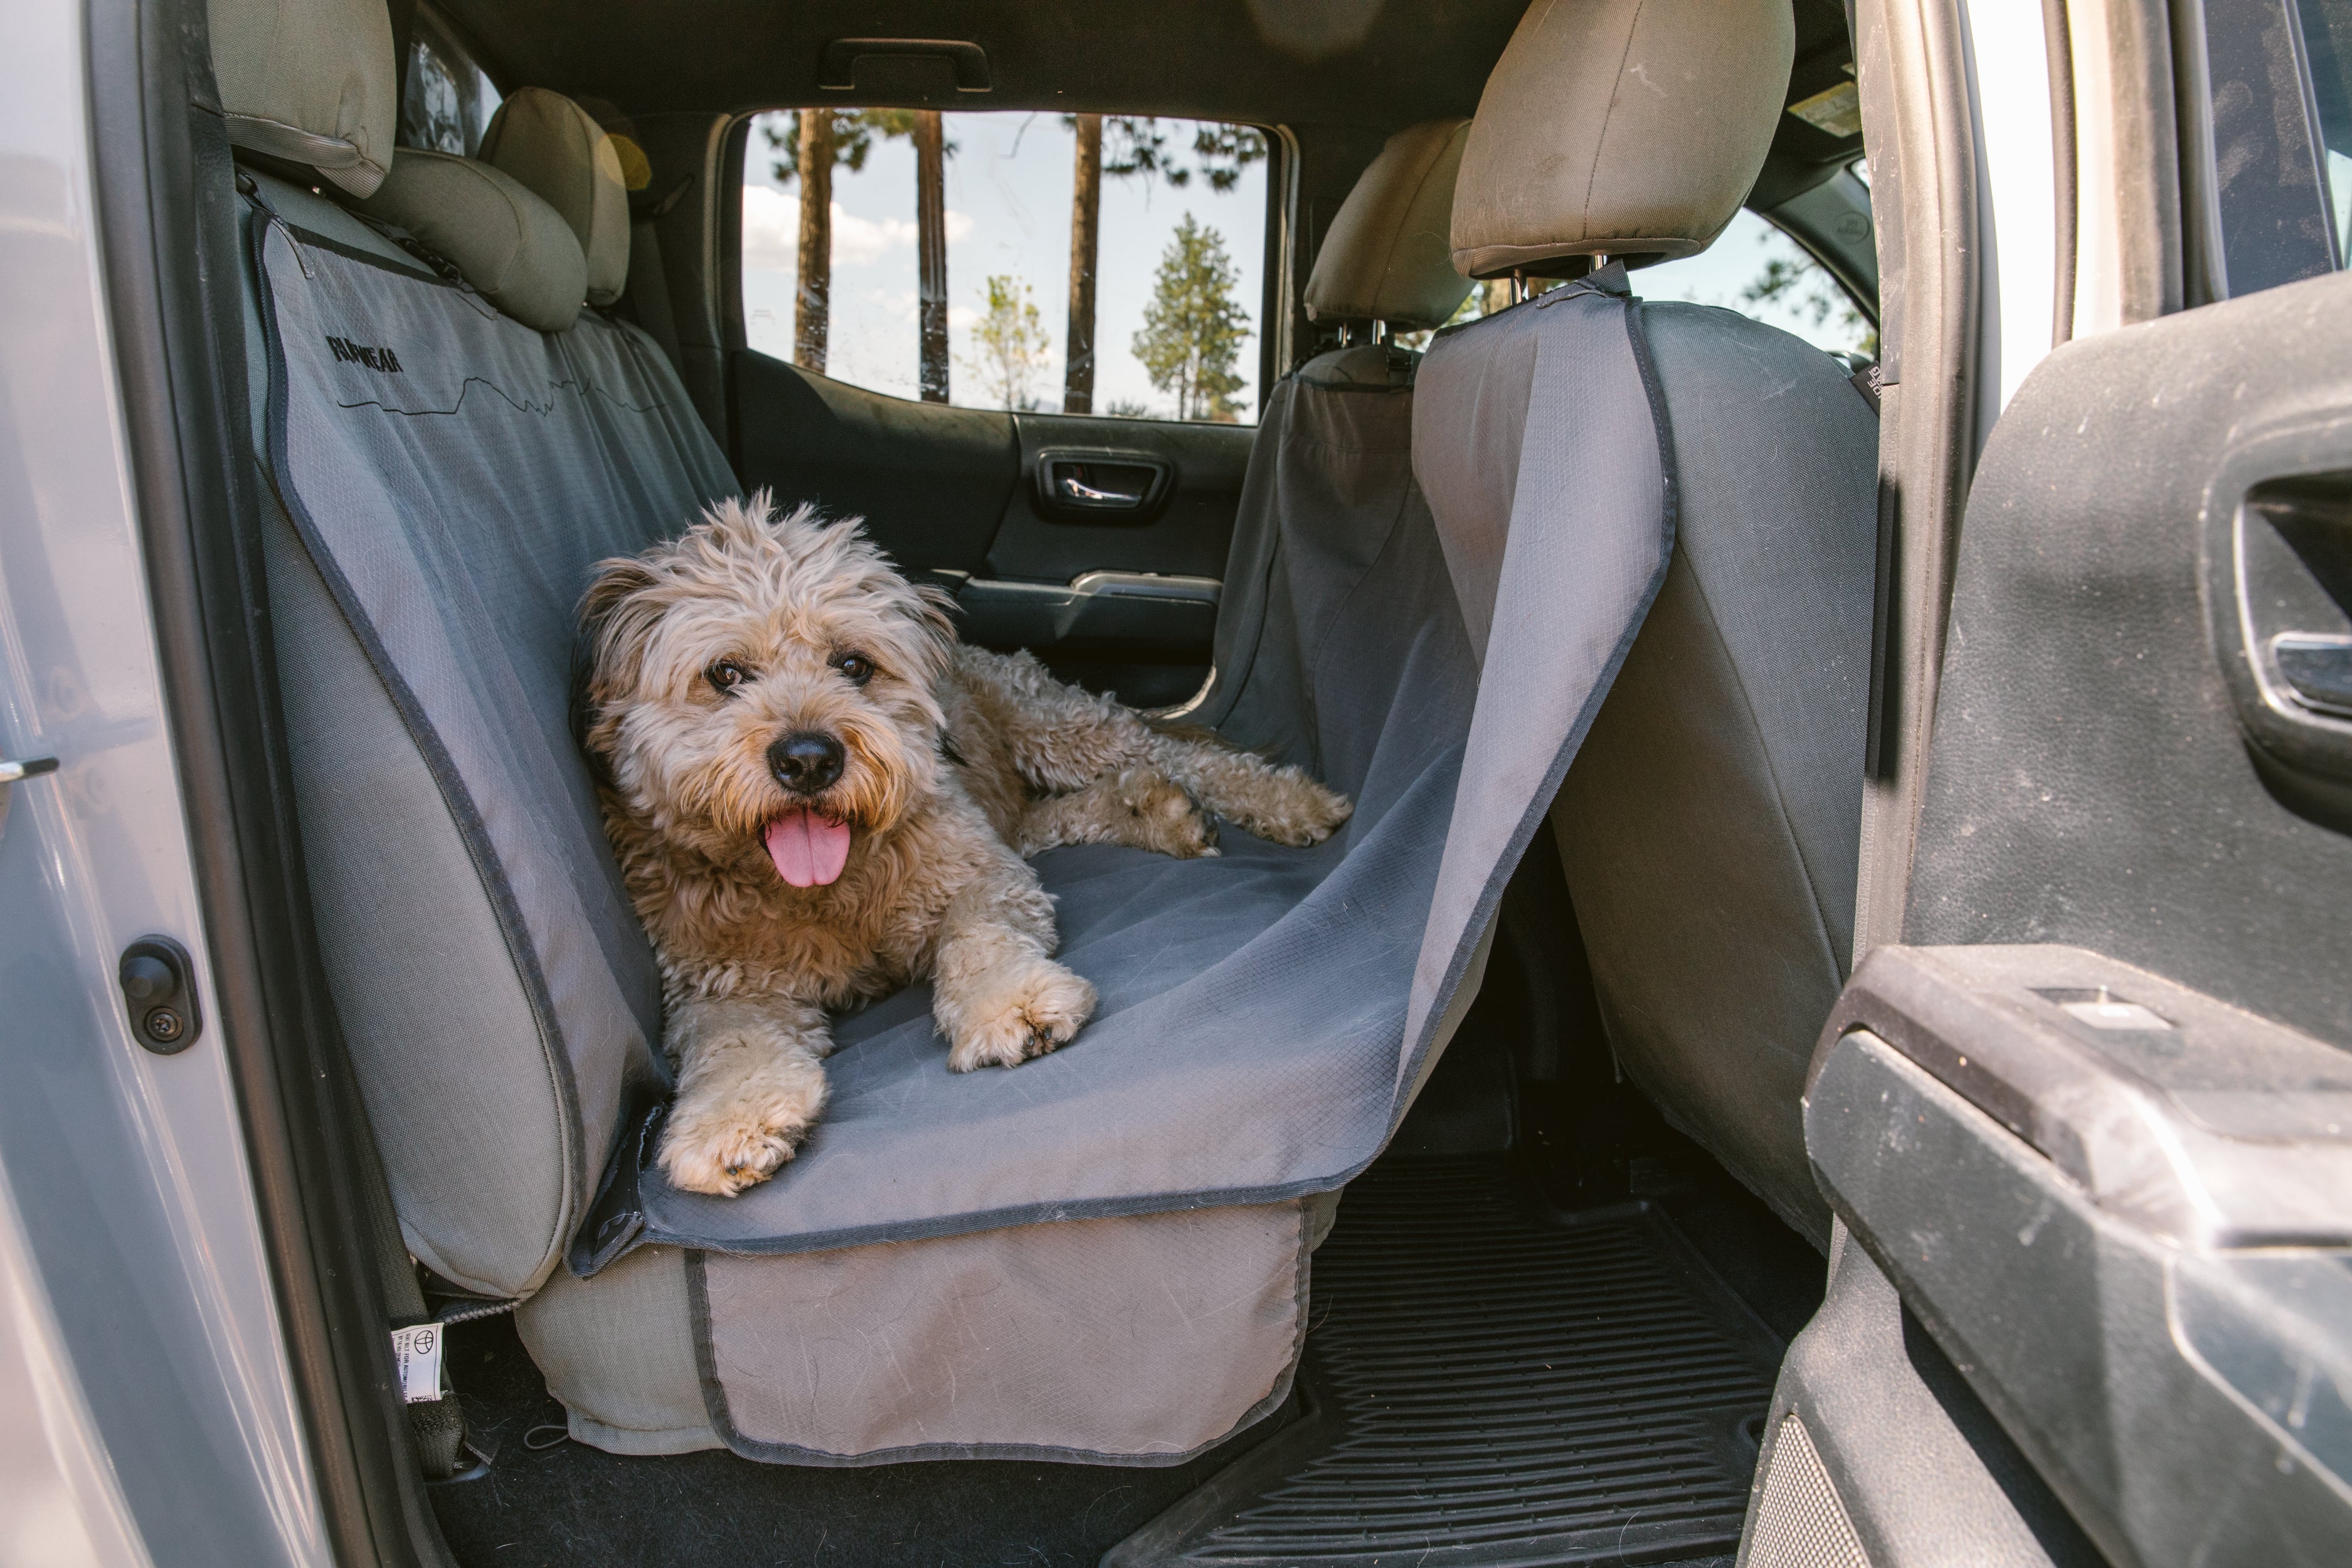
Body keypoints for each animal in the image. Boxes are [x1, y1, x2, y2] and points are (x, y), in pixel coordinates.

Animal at [581, 495, 1355, 1194]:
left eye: (854, 665)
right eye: (725, 674)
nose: (808, 759)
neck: (826, 890)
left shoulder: (975, 871)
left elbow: (977, 937)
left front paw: (1008, 1006)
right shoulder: (718, 980)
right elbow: (728, 1045)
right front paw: (727, 1127)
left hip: (1058, 731)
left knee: (1183, 758)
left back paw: (1293, 803)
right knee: (1069, 813)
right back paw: (1158, 812)